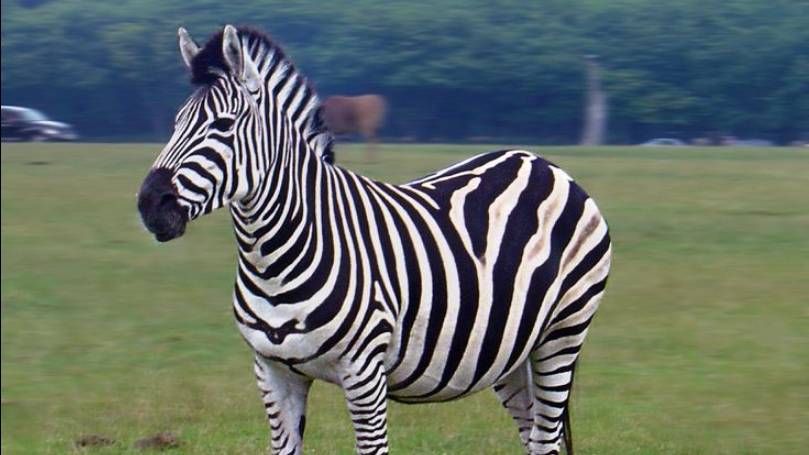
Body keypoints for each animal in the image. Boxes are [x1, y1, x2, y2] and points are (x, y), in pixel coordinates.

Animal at [137, 25, 612, 455]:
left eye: (223, 125)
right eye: (175, 124)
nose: (150, 204)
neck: (275, 256)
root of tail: (540, 162)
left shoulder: (364, 371)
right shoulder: (273, 372)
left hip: (563, 332)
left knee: (546, 437)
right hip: (509, 351)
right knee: (536, 436)